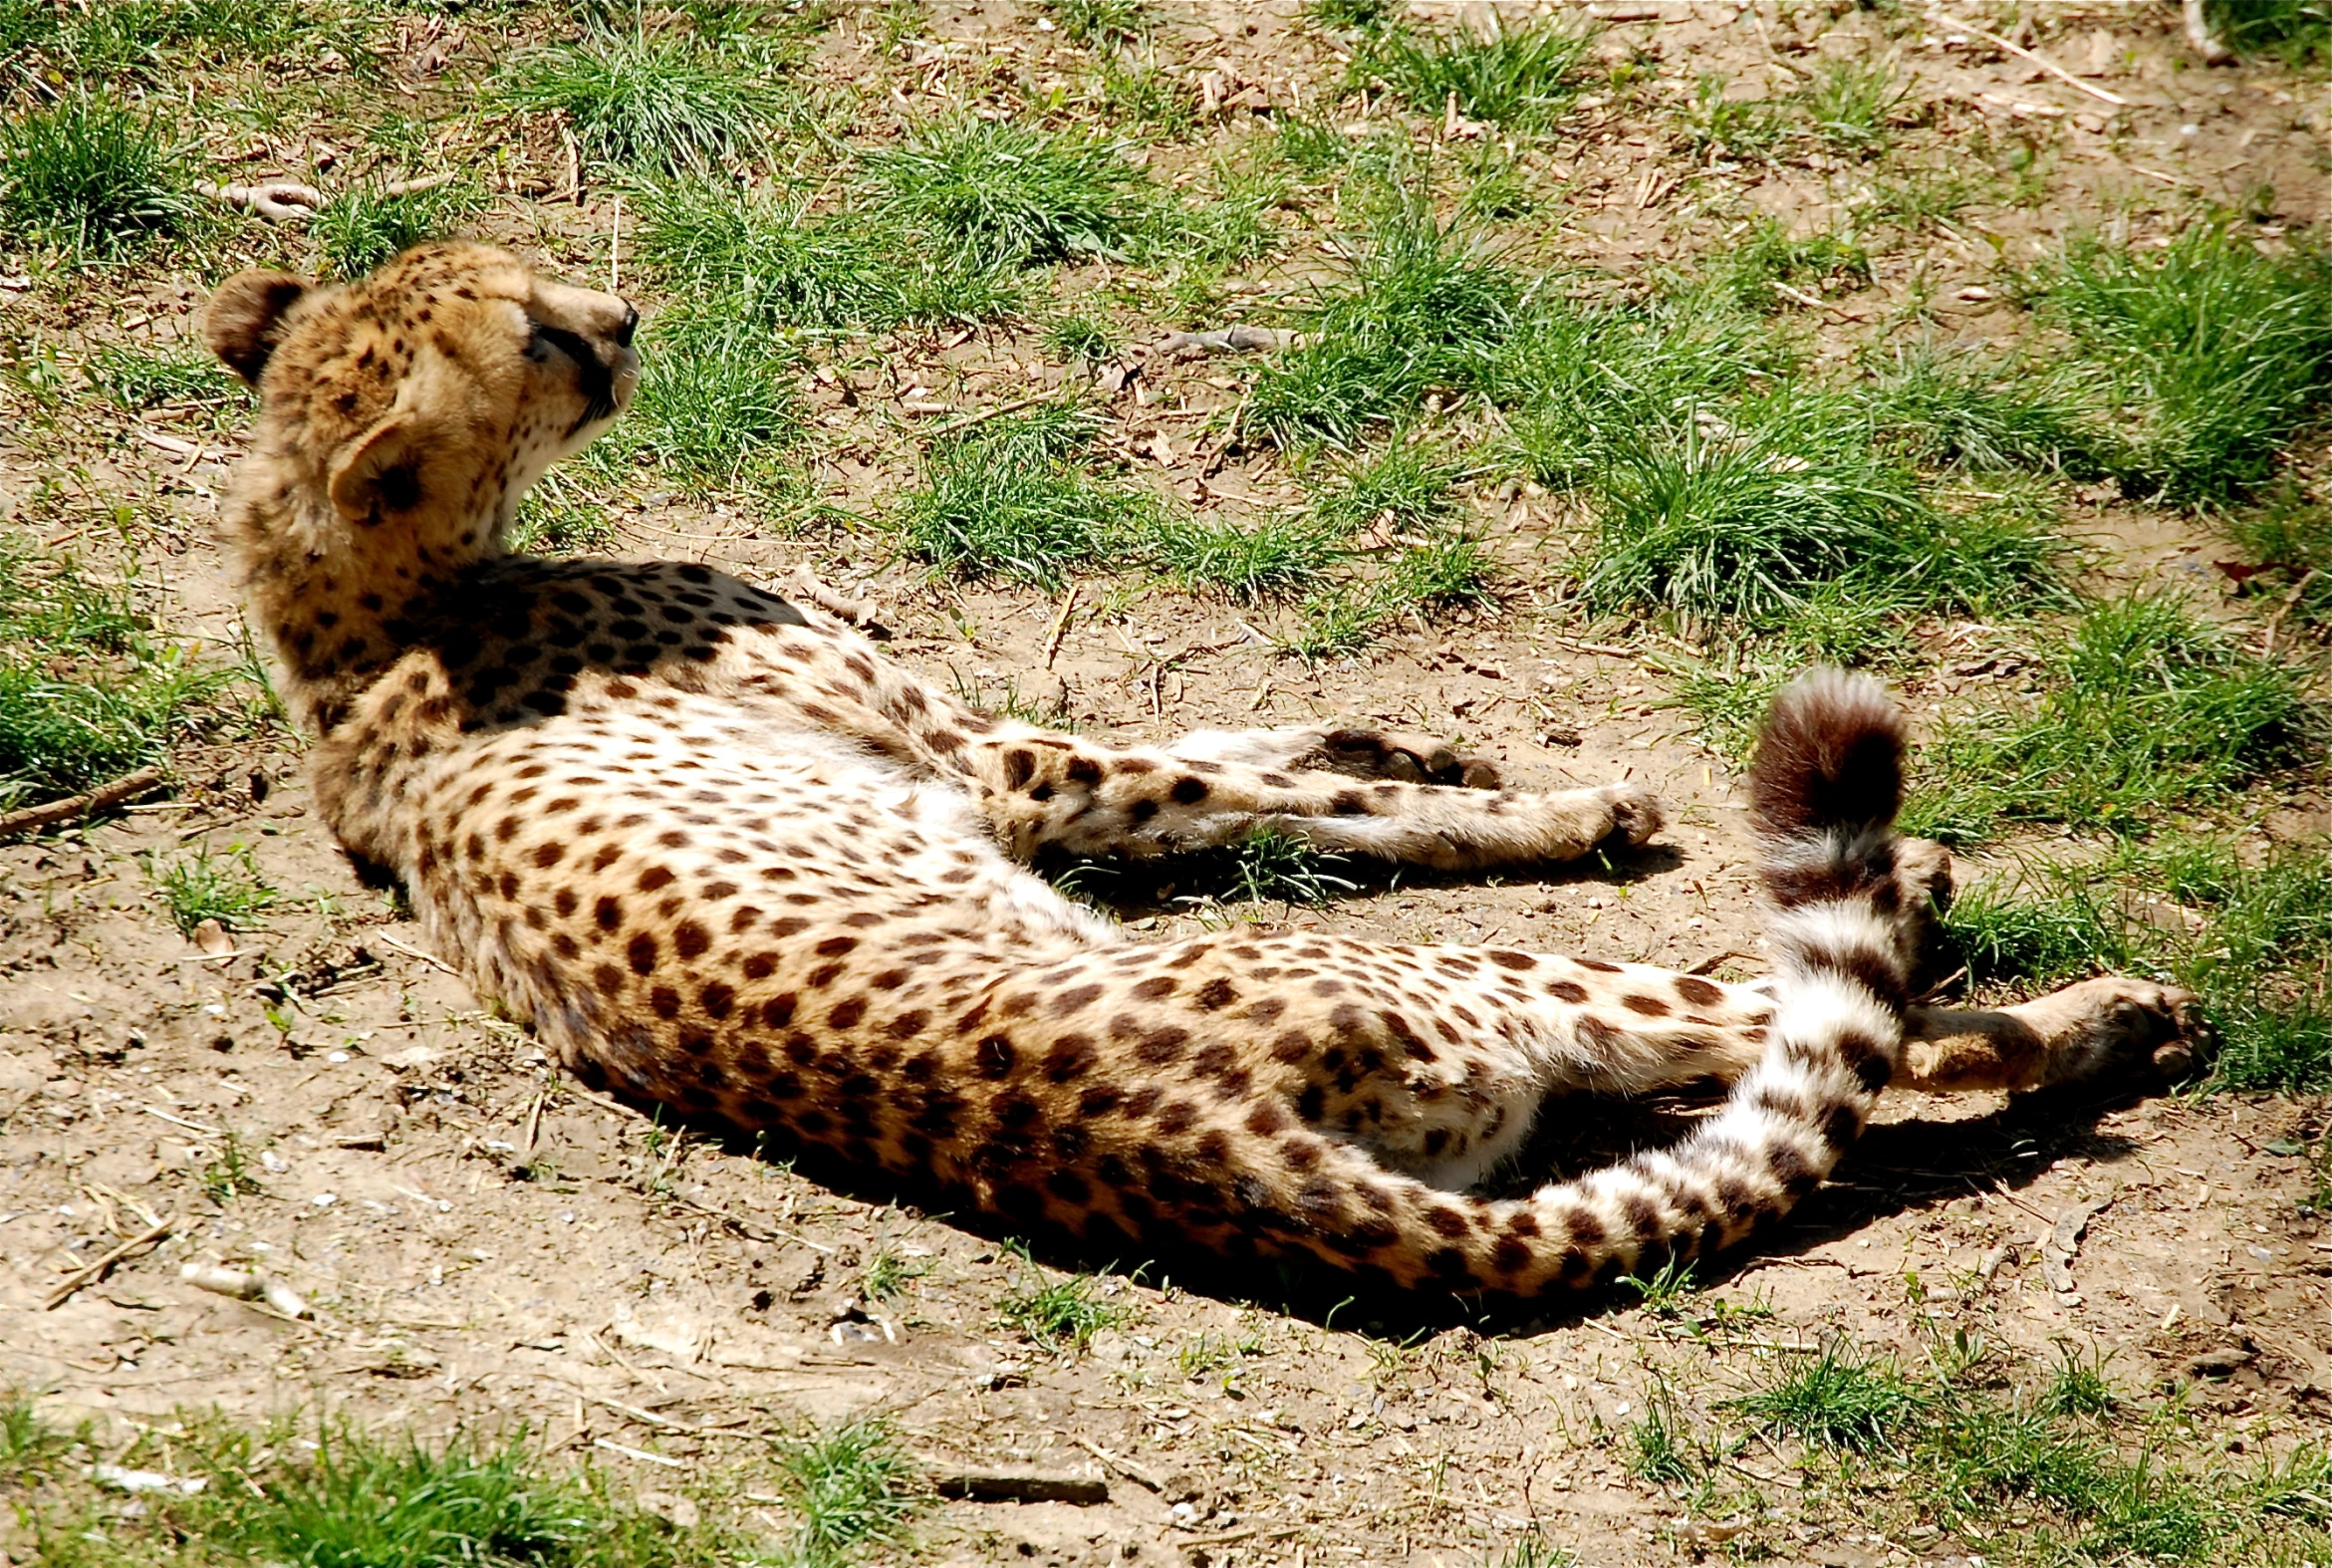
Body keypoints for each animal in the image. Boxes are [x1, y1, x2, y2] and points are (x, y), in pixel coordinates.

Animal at [200, 244, 2201, 1287]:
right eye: (534, 332)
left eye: (516, 275)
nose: (622, 320)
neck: (352, 600)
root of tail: (1203, 1149)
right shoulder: (981, 761)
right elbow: (1281, 801)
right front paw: (1548, 803)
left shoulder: (999, 756)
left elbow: (1252, 750)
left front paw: (1415, 732)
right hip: (1500, 987)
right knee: (1834, 1032)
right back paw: (2071, 984)